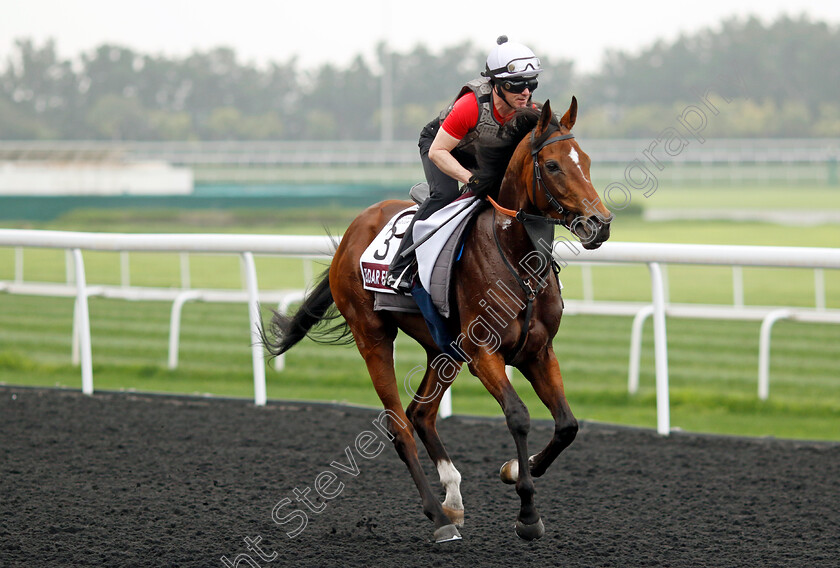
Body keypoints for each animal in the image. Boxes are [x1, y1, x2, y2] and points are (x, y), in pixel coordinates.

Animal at [262, 100, 612, 544]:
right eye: (552, 166)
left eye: (585, 160)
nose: (600, 223)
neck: (515, 256)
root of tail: (352, 232)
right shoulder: (484, 353)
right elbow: (518, 416)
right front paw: (527, 511)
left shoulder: (538, 351)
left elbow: (567, 425)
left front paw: (517, 468)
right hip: (373, 336)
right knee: (400, 426)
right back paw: (439, 517)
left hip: (442, 349)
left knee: (421, 414)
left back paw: (453, 499)